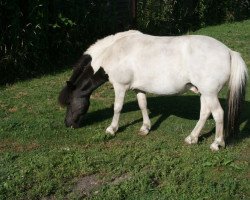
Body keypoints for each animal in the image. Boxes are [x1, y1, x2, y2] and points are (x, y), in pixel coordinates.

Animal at [59, 30, 248, 151]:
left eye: (69, 102)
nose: (68, 124)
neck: (114, 51)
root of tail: (229, 52)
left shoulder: (120, 87)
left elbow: (117, 108)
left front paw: (112, 129)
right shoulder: (138, 88)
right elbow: (143, 105)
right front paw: (145, 128)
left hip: (209, 93)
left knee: (218, 114)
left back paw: (216, 144)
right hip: (205, 93)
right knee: (204, 113)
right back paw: (192, 138)